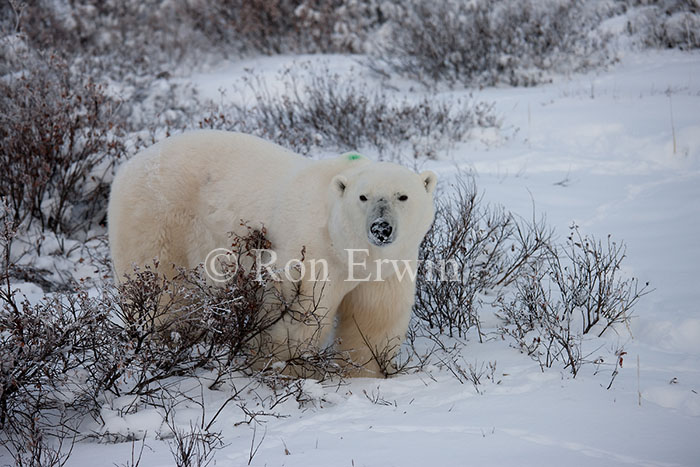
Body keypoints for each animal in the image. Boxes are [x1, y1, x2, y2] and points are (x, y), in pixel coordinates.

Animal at [108, 130, 438, 378]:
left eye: (402, 196)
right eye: (363, 197)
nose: (381, 228)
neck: (345, 249)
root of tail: (127, 167)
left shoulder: (388, 268)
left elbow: (375, 317)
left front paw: (366, 372)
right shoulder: (310, 255)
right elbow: (295, 318)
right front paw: (284, 369)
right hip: (158, 219)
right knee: (165, 295)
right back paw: (165, 343)